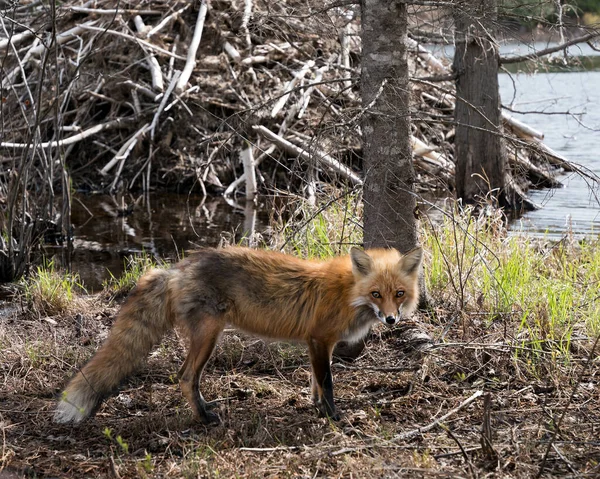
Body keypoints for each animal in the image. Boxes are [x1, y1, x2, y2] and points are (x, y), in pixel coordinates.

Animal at [55, 246, 422, 426]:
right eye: (376, 294)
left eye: (399, 294)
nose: (391, 319)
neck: (348, 293)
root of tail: (178, 267)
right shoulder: (319, 339)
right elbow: (327, 383)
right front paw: (333, 418)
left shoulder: (317, 343)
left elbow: (317, 383)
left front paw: (317, 408)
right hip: (209, 334)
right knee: (185, 377)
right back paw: (204, 419)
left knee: (183, 376)